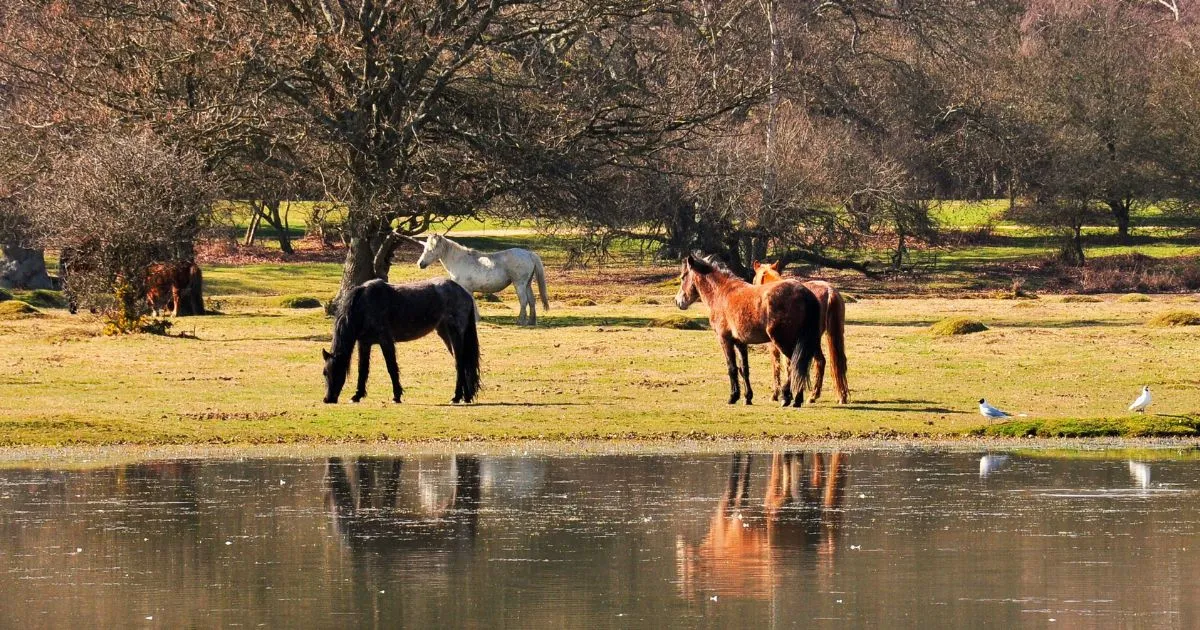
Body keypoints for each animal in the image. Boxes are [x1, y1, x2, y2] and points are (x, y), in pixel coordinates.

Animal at [417, 234, 549, 326]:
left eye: (431, 249)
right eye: (424, 248)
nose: (420, 264)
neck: (460, 260)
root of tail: (529, 253)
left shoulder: (466, 289)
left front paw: (475, 319)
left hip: (519, 284)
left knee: (524, 301)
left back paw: (521, 321)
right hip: (527, 284)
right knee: (531, 301)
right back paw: (531, 321)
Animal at [676, 255, 825, 408]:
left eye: (682, 277)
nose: (678, 301)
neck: (722, 293)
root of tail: (805, 293)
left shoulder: (725, 340)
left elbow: (732, 368)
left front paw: (733, 397)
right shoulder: (740, 343)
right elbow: (744, 369)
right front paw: (747, 397)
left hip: (783, 342)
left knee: (795, 365)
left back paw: (789, 397)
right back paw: (796, 398)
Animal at [753, 259, 849, 403]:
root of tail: (829, 291)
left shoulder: (775, 346)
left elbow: (778, 367)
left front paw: (777, 394)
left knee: (820, 361)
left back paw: (813, 396)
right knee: (836, 363)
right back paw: (840, 396)